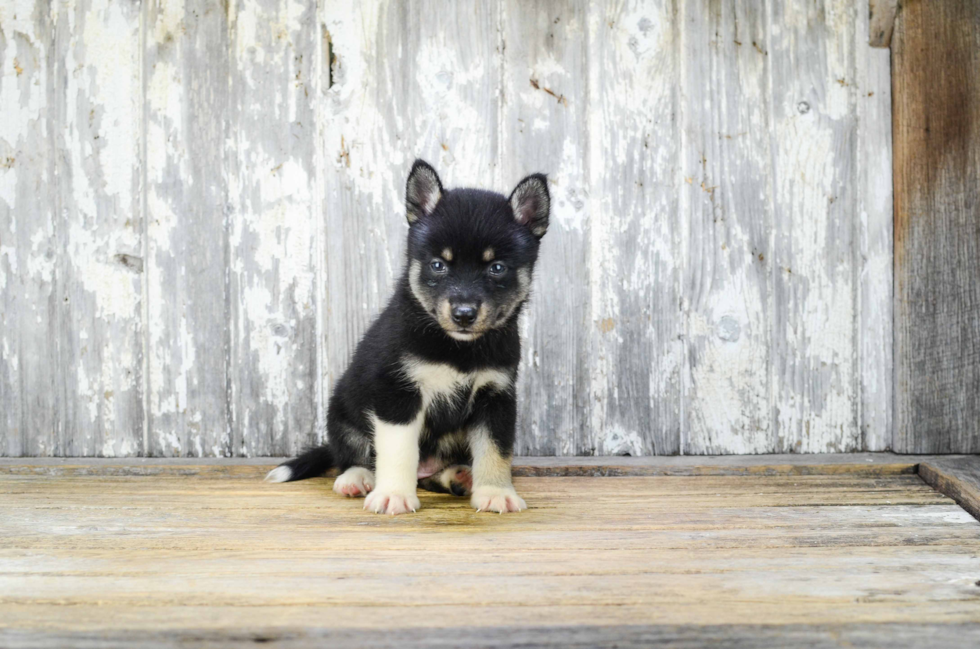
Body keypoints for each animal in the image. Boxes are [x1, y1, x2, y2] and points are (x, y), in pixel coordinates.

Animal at [264, 159, 548, 512]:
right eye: (438, 265)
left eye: (496, 268)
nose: (464, 314)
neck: (458, 350)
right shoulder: (397, 393)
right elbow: (399, 451)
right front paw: (394, 495)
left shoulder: (496, 396)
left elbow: (496, 451)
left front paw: (495, 492)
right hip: (342, 410)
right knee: (352, 455)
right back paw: (356, 478)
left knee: (431, 473)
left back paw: (458, 476)